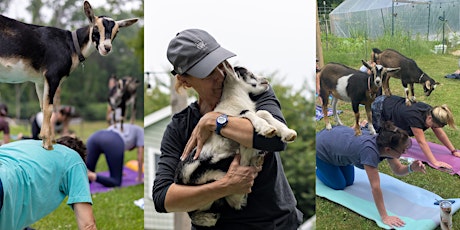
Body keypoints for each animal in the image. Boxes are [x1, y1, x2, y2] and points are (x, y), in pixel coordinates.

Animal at [0, 1, 138, 149]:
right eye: (96, 27)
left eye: (116, 31)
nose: (106, 48)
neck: (71, 45)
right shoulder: (53, 76)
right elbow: (50, 108)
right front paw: (48, 144)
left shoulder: (40, 81)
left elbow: (43, 107)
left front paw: (49, 140)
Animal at [173, 64, 298, 226]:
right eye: (249, 74)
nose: (266, 80)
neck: (235, 100)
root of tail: (192, 213)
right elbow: (248, 114)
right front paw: (266, 129)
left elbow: (263, 112)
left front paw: (287, 133)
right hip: (210, 174)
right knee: (235, 197)